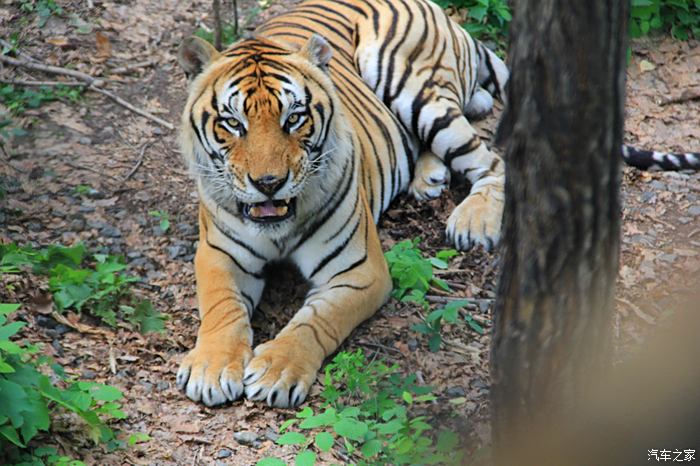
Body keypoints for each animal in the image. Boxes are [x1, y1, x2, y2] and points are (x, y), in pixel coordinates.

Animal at [176, 0, 508, 408]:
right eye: (233, 123)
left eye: (294, 118)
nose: (269, 183)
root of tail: (436, 10)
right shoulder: (218, 254)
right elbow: (221, 307)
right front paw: (212, 366)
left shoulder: (360, 270)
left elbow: (318, 319)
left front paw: (277, 370)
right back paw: (428, 178)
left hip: (416, 89)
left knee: (491, 160)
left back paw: (473, 221)